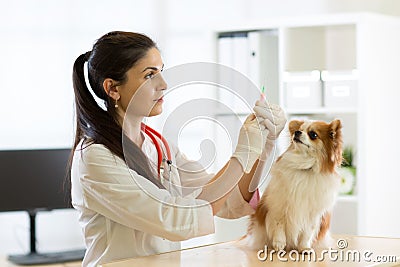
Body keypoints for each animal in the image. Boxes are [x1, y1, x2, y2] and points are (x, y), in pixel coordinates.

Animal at [248, 120, 342, 253]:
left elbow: (307, 233)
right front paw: (279, 244)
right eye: (300, 129)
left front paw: (304, 247)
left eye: (313, 134)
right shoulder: (278, 206)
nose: (297, 132)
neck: (305, 167)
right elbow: (278, 226)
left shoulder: (312, 215)